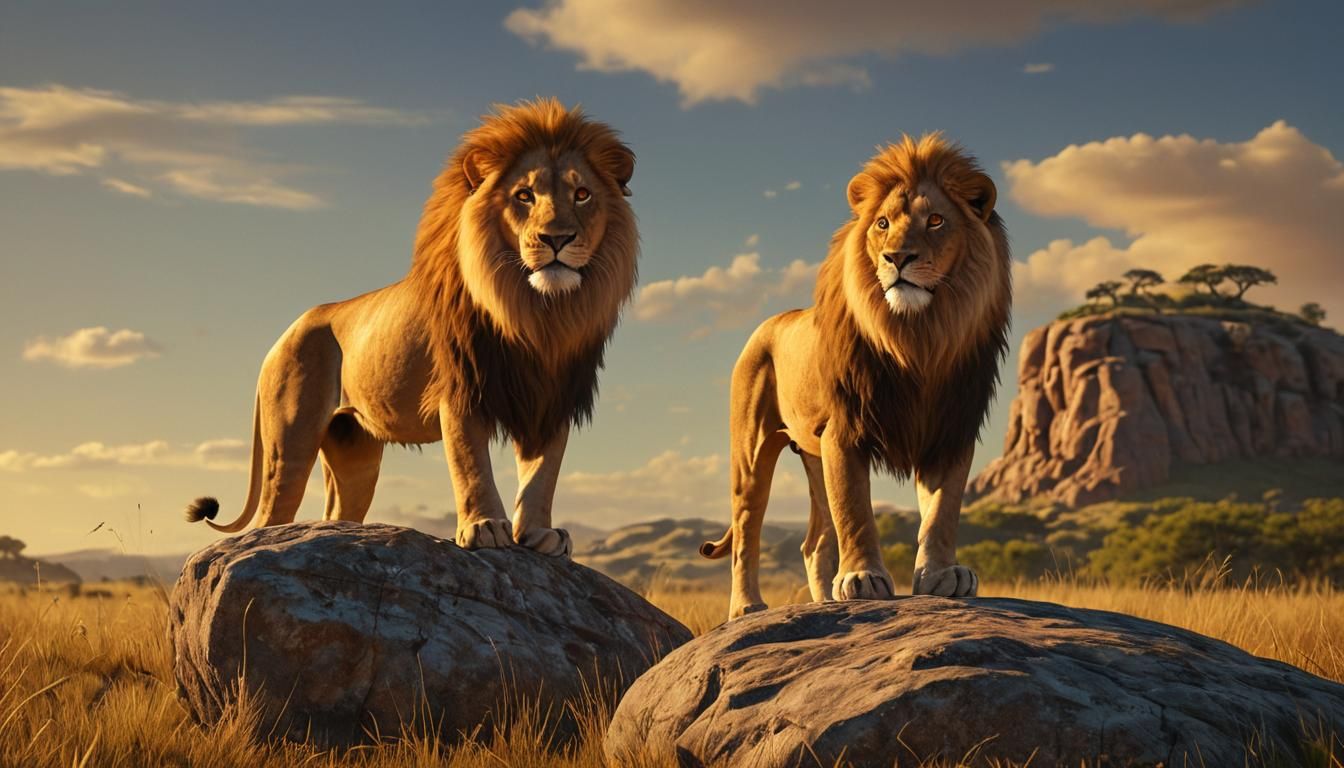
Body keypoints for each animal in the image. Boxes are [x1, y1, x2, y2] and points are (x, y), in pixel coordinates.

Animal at [184, 98, 638, 557]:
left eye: (582, 194)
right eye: (524, 196)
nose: (557, 238)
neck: (538, 313)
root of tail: (284, 334)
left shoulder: (552, 397)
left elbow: (543, 474)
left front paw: (539, 534)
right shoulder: (460, 393)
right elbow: (471, 462)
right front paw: (484, 526)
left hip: (355, 449)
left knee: (337, 511)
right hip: (290, 443)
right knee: (270, 517)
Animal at [700, 134, 1011, 618]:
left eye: (936, 220)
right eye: (882, 223)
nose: (896, 257)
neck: (918, 338)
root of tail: (769, 322)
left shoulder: (950, 430)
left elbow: (942, 511)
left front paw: (943, 575)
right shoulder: (844, 432)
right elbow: (856, 509)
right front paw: (863, 578)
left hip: (812, 455)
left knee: (814, 542)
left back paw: (823, 599)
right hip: (752, 452)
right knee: (747, 531)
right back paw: (747, 607)